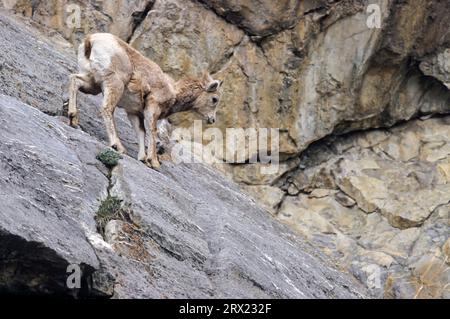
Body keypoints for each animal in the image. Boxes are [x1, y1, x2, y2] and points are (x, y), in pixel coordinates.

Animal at [68, 32, 221, 170]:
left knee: (74, 80)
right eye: (214, 99)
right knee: (107, 109)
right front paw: (153, 162)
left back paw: (72, 118)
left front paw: (142, 158)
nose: (212, 120)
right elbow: (152, 131)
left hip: (92, 84)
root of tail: (90, 40)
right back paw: (118, 146)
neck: (173, 92)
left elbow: (140, 132)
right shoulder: (152, 108)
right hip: (114, 85)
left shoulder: (134, 113)